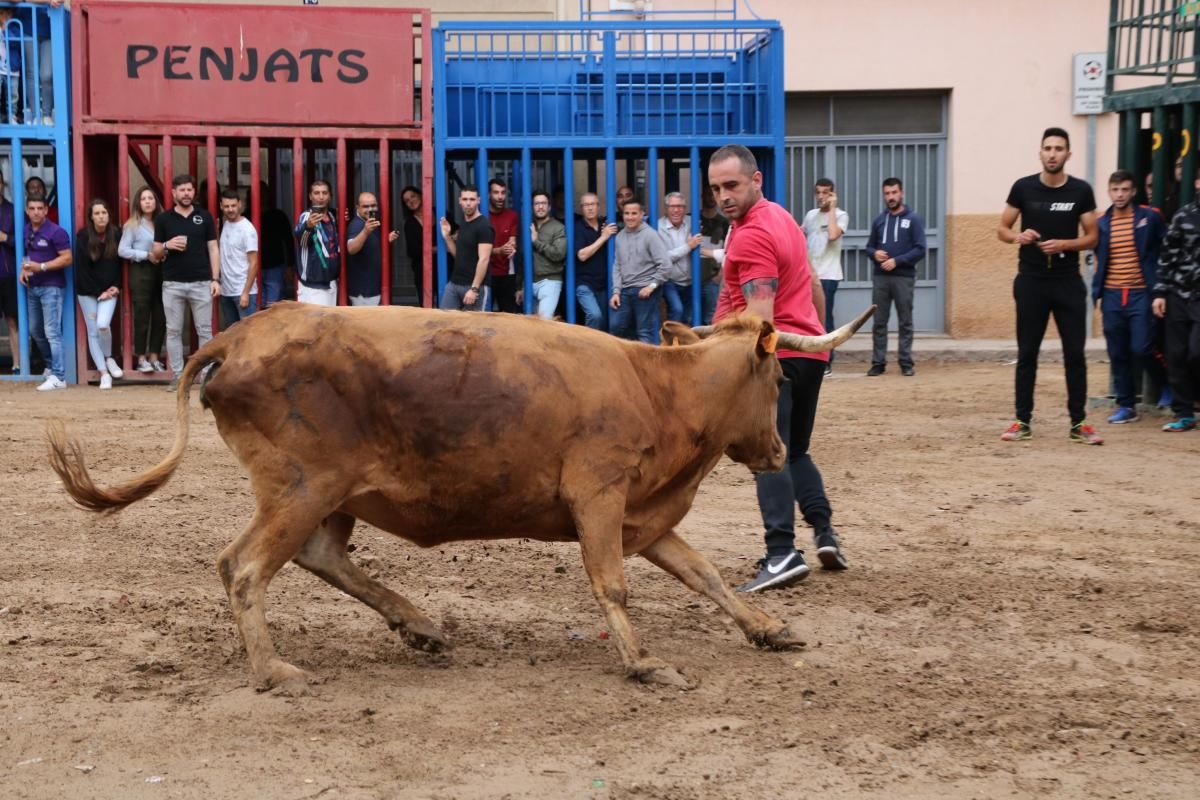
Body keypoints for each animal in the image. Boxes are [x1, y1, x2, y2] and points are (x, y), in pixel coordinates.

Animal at [49, 303, 873, 690]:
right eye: (778, 377)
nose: (777, 451)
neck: (660, 389)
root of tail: (241, 334)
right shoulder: (600, 497)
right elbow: (612, 585)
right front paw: (645, 664)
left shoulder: (644, 515)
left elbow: (701, 573)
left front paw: (767, 628)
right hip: (300, 487)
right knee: (246, 567)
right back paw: (274, 670)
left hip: (330, 495)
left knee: (321, 556)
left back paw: (419, 625)